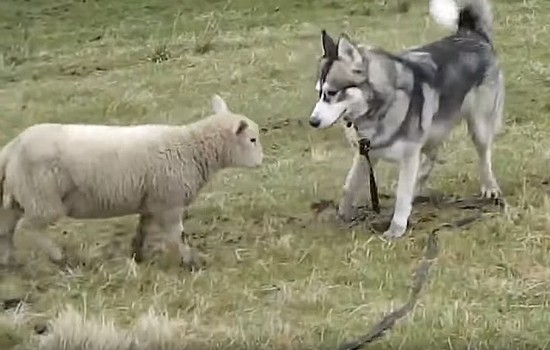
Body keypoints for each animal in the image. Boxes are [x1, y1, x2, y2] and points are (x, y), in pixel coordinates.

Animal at [0, 95, 266, 270]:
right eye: (252, 139)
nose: (261, 162)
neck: (191, 148)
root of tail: (12, 147)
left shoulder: (151, 201)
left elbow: (143, 230)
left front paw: (137, 255)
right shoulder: (169, 202)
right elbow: (177, 235)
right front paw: (191, 262)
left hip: (17, 197)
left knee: (7, 229)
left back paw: (9, 262)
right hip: (41, 197)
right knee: (30, 228)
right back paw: (59, 257)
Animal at [308, 0, 506, 239]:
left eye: (332, 93)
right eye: (319, 93)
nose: (312, 122)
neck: (379, 105)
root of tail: (471, 35)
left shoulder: (408, 155)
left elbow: (402, 195)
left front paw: (396, 229)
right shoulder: (366, 154)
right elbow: (350, 186)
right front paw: (341, 216)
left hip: (478, 127)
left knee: (483, 156)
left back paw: (490, 187)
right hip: (432, 127)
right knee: (432, 155)